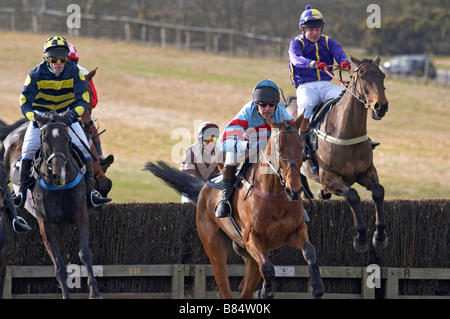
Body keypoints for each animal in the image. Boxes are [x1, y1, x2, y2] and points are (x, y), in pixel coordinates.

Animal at [1, 110, 101, 300]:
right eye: (45, 139)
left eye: (67, 139)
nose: (58, 174)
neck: (60, 187)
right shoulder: (46, 225)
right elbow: (59, 266)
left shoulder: (81, 215)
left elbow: (85, 254)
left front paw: (95, 293)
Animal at [146, 117, 326, 300]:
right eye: (278, 148)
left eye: (301, 145)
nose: (294, 191)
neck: (274, 195)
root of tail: (205, 186)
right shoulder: (252, 238)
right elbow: (267, 268)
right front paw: (265, 292)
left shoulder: (295, 231)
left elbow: (310, 252)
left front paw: (317, 287)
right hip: (215, 250)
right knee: (225, 283)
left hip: (248, 255)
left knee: (247, 287)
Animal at [286, 56, 388, 254]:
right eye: (362, 76)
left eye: (382, 75)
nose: (381, 106)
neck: (346, 132)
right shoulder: (328, 176)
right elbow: (353, 195)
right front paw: (361, 238)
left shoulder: (366, 172)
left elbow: (379, 191)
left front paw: (380, 236)